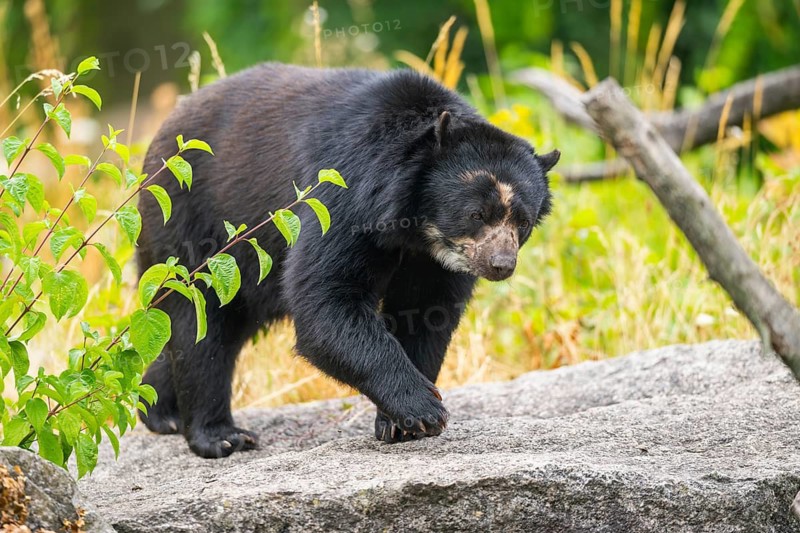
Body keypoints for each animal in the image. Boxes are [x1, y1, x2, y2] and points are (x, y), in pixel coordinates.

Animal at [137, 63, 559, 458]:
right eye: (477, 214)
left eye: (522, 222)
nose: (500, 264)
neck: (413, 224)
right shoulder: (345, 196)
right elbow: (327, 300)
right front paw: (423, 409)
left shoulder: (434, 261)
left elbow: (426, 313)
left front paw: (399, 424)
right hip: (192, 220)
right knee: (199, 319)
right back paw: (221, 436)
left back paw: (160, 410)